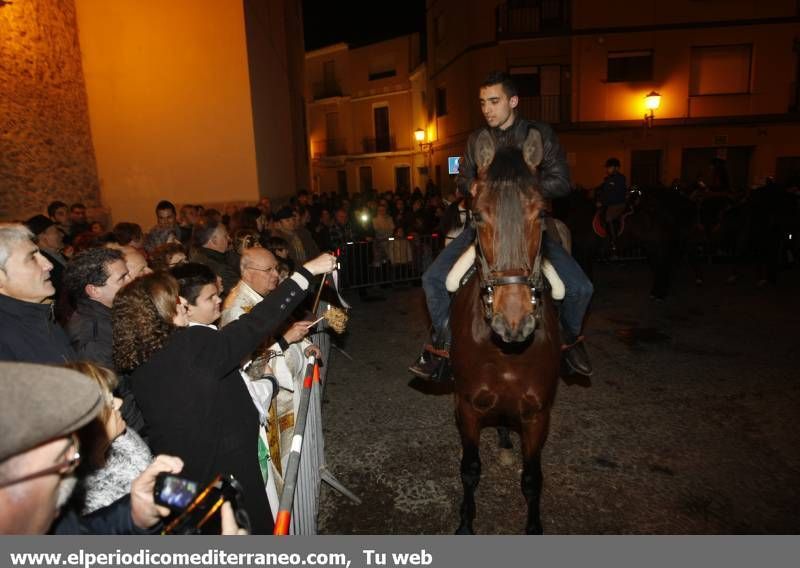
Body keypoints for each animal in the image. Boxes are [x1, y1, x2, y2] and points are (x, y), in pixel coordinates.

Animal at [450, 130, 564, 536]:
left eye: (542, 213)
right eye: (477, 215)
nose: (513, 321)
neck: (506, 352)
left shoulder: (538, 415)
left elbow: (532, 479)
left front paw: (533, 526)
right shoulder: (467, 408)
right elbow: (470, 470)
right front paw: (465, 523)